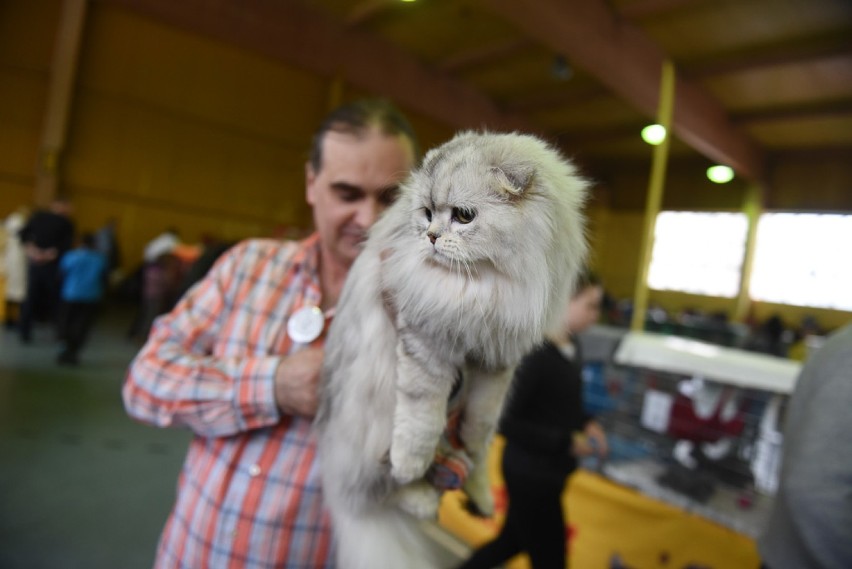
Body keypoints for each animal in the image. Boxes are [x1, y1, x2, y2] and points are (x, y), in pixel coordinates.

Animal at [316, 131, 588, 564]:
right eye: (427, 214)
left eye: (463, 216)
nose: (430, 236)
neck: (484, 283)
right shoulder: (426, 343)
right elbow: (422, 422)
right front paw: (411, 463)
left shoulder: (496, 361)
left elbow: (479, 426)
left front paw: (473, 463)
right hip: (370, 433)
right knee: (390, 486)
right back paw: (420, 494)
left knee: (469, 463)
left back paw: (480, 500)